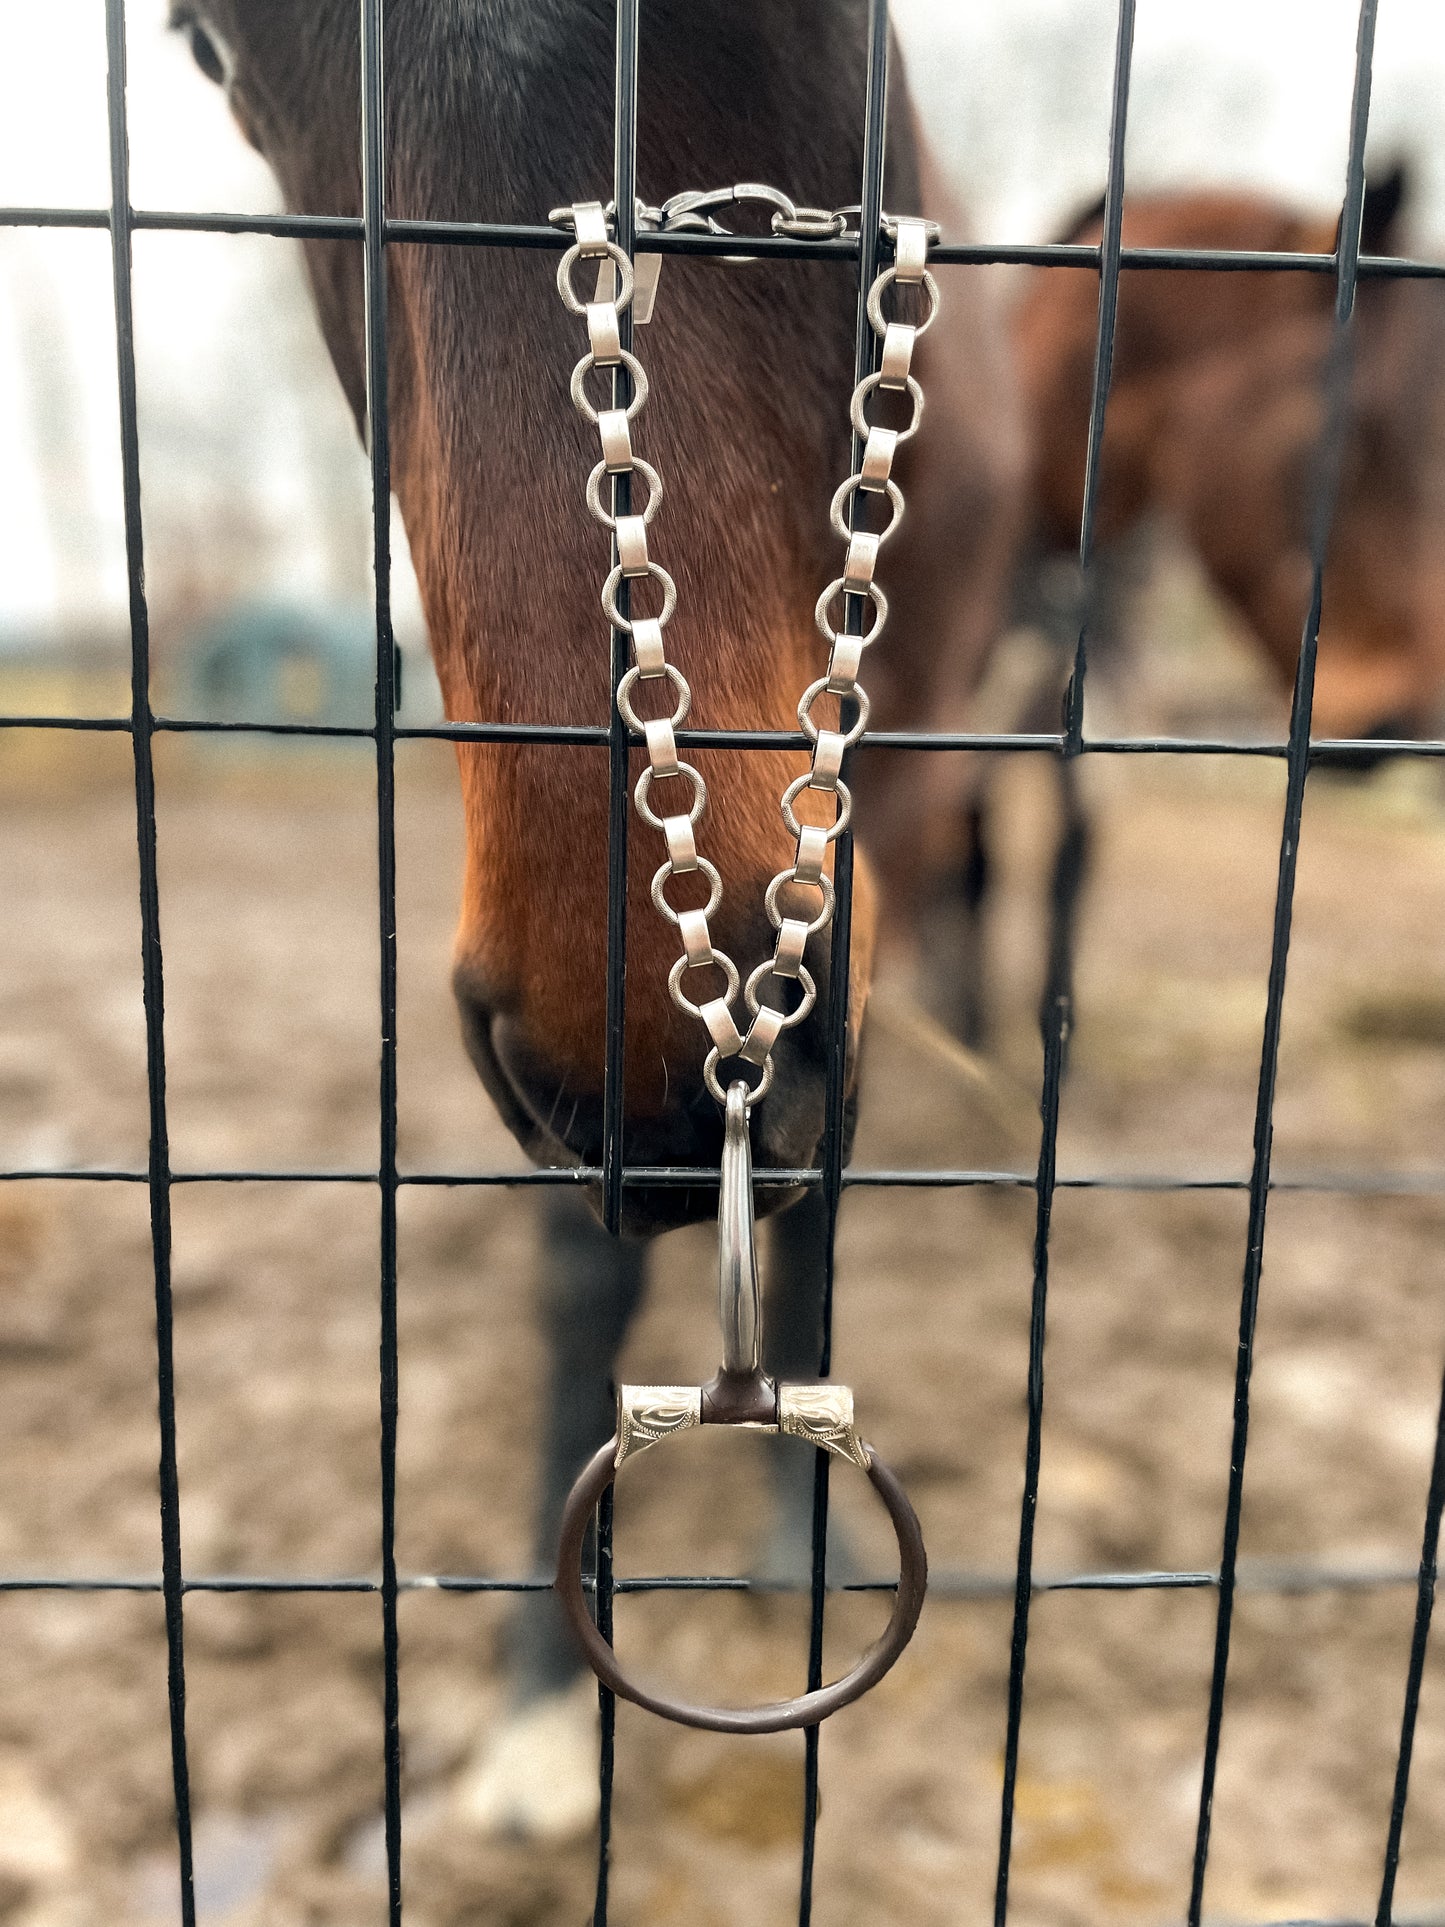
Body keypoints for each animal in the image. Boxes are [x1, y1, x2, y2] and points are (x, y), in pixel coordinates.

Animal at [175, 0, 1024, 1834]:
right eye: (209, 46)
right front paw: (537, 1697)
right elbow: (584, 1283)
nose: (642, 1082)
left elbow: (819, 1203)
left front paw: (792, 1527)